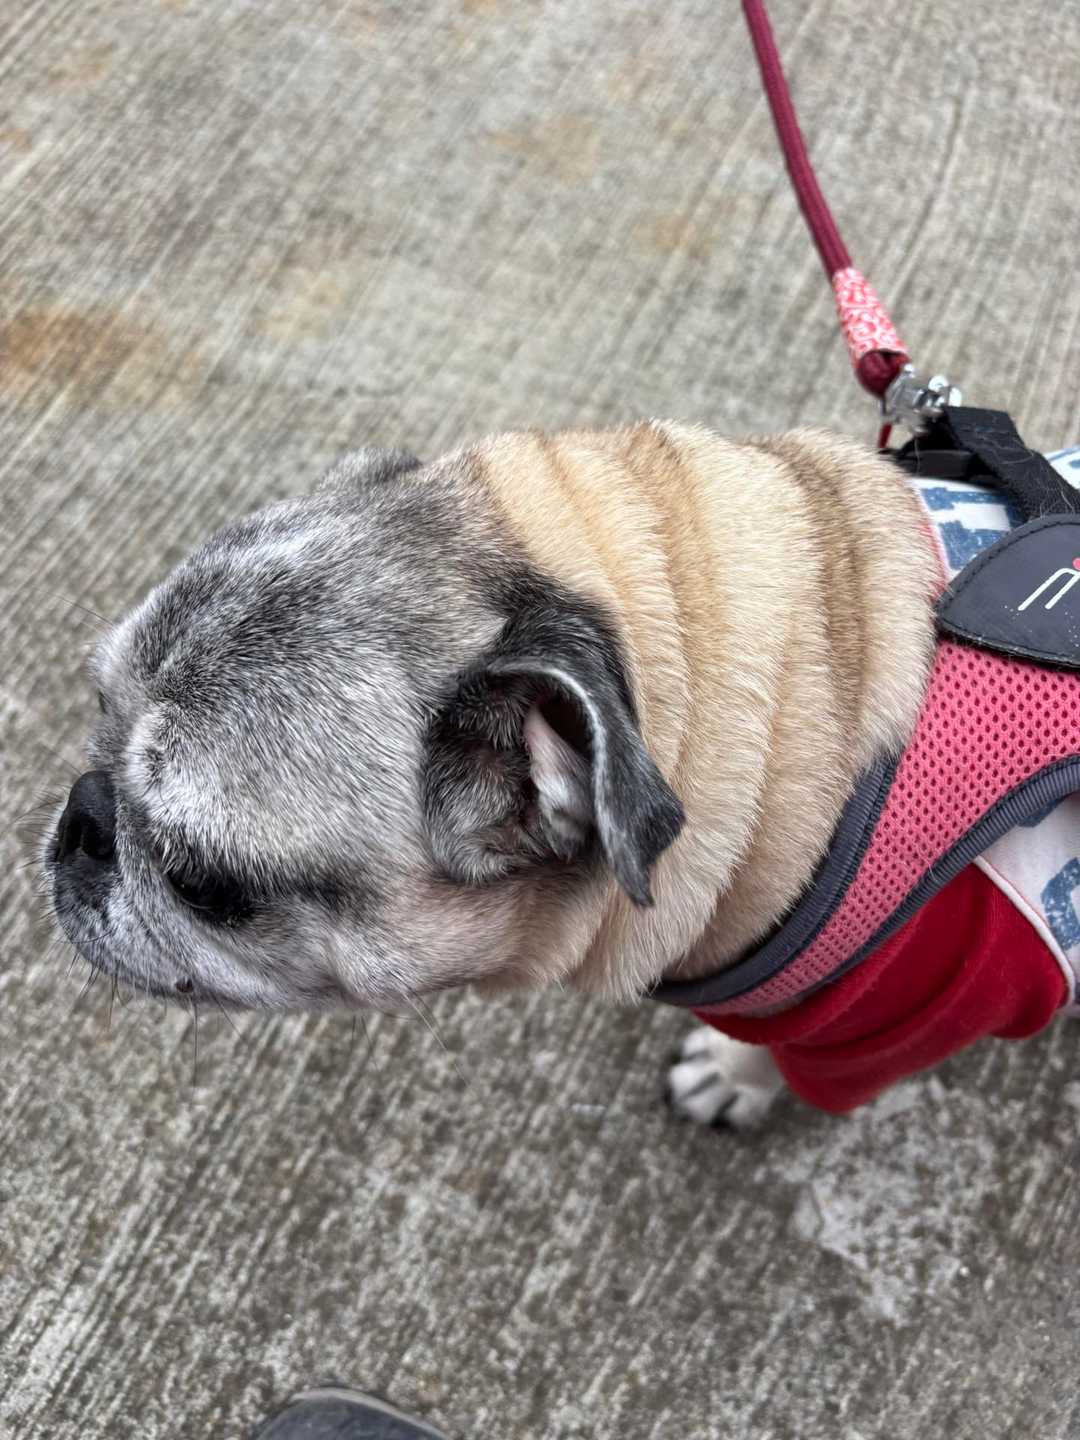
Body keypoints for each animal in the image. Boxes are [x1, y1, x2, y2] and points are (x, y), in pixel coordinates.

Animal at [45, 421, 977, 1125]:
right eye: (99, 707)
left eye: (200, 881)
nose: (83, 816)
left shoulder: (879, 1020)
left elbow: (776, 1056)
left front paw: (735, 1076)